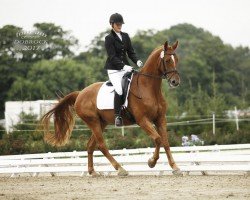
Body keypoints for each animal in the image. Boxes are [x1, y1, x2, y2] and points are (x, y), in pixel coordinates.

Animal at [41, 40, 182, 177]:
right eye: (167, 60)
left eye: (177, 59)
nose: (175, 82)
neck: (148, 88)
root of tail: (80, 93)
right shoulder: (142, 120)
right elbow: (158, 139)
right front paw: (151, 162)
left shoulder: (160, 119)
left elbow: (165, 142)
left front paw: (175, 167)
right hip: (93, 121)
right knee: (101, 145)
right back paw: (120, 169)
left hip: (101, 123)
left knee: (90, 145)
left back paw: (93, 172)